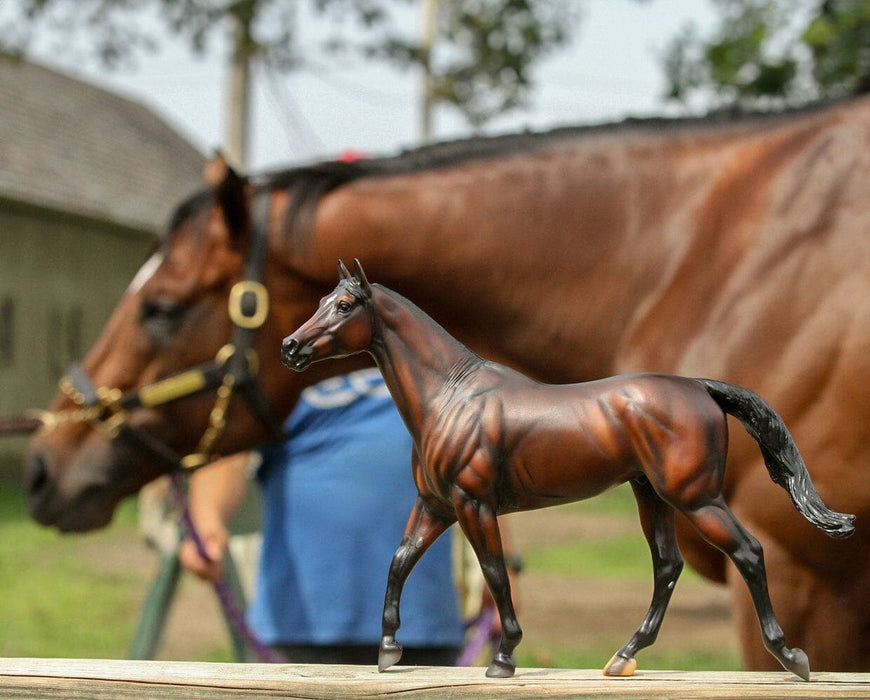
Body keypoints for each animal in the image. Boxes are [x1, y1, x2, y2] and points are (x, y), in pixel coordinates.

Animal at [282, 260, 856, 680]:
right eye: (321, 302)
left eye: (343, 305)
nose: (291, 347)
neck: (451, 395)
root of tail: (699, 386)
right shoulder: (436, 505)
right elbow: (399, 561)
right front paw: (387, 650)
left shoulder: (473, 504)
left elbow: (494, 573)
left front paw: (504, 657)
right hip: (652, 496)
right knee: (667, 567)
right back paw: (624, 657)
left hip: (696, 499)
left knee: (749, 553)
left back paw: (792, 658)